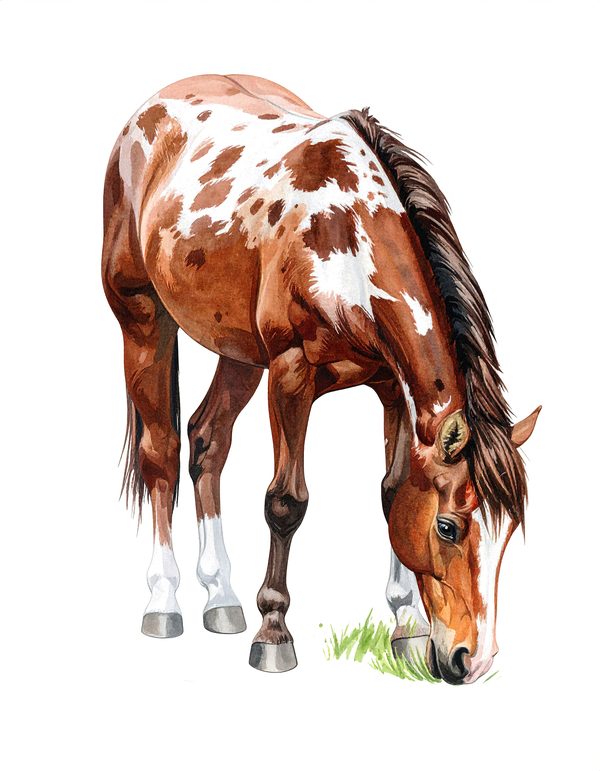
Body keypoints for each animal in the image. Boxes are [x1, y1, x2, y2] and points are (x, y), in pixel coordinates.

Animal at [102, 74, 539, 684]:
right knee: (160, 453)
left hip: (239, 352)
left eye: (508, 536)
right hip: (142, 318)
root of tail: (147, 114)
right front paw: (273, 634)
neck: (344, 236)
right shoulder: (291, 374)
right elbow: (286, 503)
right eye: (449, 528)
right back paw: (165, 602)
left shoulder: (392, 389)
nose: (471, 661)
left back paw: (221, 599)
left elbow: (390, 492)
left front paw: (406, 626)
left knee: (207, 441)